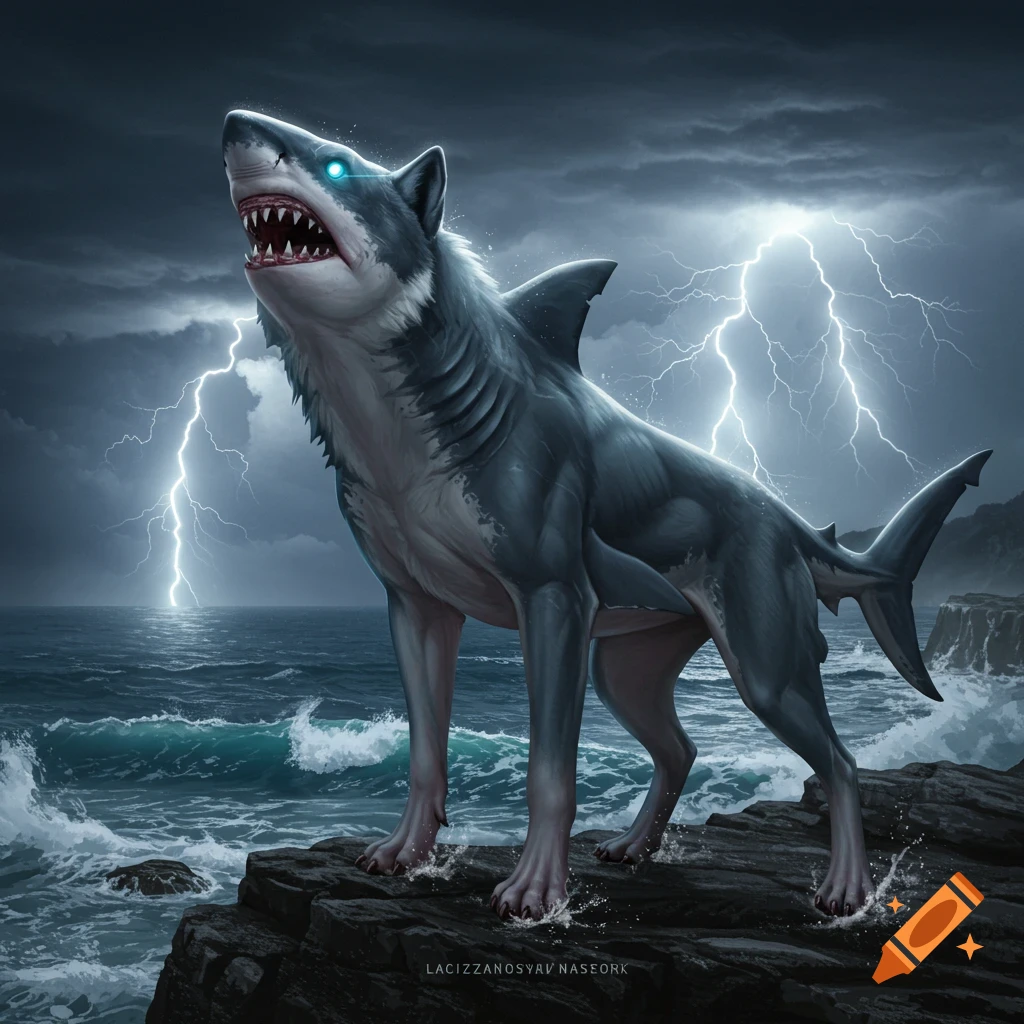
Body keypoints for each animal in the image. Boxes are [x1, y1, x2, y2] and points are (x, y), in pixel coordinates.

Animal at [222, 109, 991, 920]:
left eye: (334, 165)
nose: (237, 125)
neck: (392, 427)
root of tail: (786, 519)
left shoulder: (553, 597)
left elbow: (549, 771)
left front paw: (535, 891)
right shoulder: (417, 606)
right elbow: (425, 752)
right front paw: (406, 854)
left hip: (762, 665)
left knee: (841, 761)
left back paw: (846, 890)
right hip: (626, 665)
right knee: (682, 748)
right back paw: (633, 848)